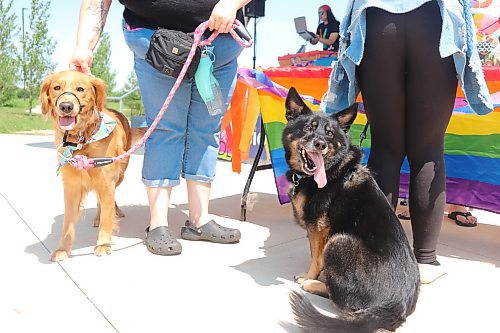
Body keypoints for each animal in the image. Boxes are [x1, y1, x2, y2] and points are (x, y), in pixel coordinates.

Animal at [40, 70, 145, 262]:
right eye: (57, 87)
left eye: (80, 89)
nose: (66, 106)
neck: (81, 139)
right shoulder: (71, 186)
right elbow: (67, 223)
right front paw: (62, 249)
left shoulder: (106, 180)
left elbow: (107, 216)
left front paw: (103, 245)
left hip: (120, 175)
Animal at [284, 87, 420, 330]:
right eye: (308, 128)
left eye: (329, 134)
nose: (320, 144)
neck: (332, 169)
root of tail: (396, 307)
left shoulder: (320, 229)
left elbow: (316, 258)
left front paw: (310, 276)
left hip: (338, 242)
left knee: (342, 301)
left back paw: (313, 285)